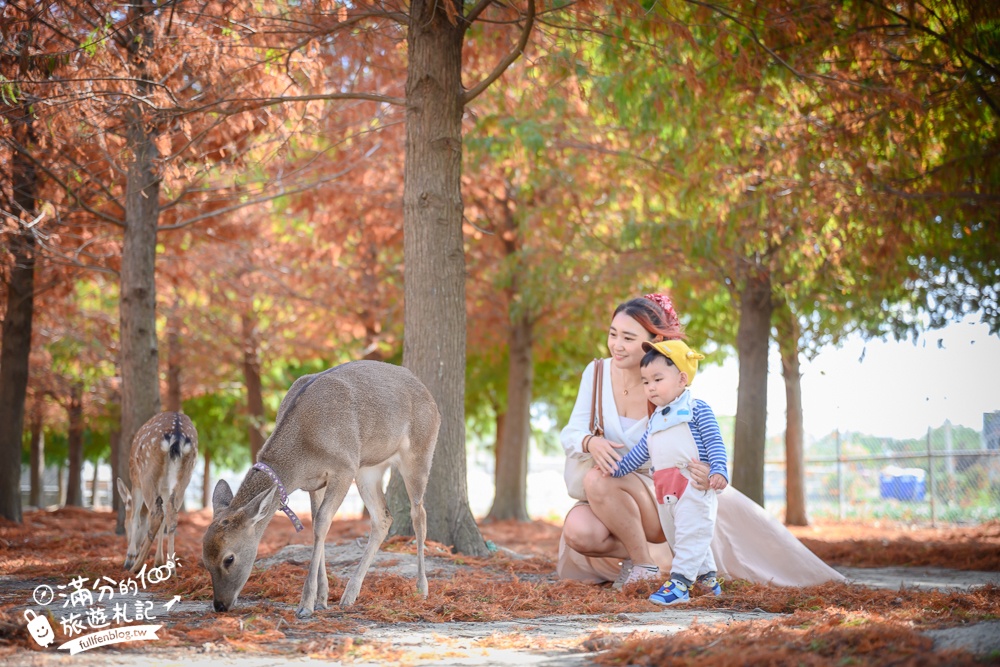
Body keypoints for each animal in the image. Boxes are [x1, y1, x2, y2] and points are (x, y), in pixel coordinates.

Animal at [116, 412, 198, 576]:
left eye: (125, 526)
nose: (128, 541)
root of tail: (177, 434)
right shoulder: (165, 487)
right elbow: (164, 518)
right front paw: (159, 562)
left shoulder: (135, 478)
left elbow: (135, 516)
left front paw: (130, 558)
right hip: (185, 476)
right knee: (171, 514)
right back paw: (172, 568)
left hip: (147, 472)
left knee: (156, 513)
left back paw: (136, 567)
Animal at [201, 362, 440, 620]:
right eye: (204, 560)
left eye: (229, 558)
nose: (220, 605)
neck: (304, 453)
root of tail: (430, 396)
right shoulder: (314, 484)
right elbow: (317, 523)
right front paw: (322, 599)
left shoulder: (344, 468)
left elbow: (323, 523)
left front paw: (305, 605)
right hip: (368, 469)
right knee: (383, 517)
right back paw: (349, 595)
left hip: (419, 451)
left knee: (419, 514)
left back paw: (421, 589)